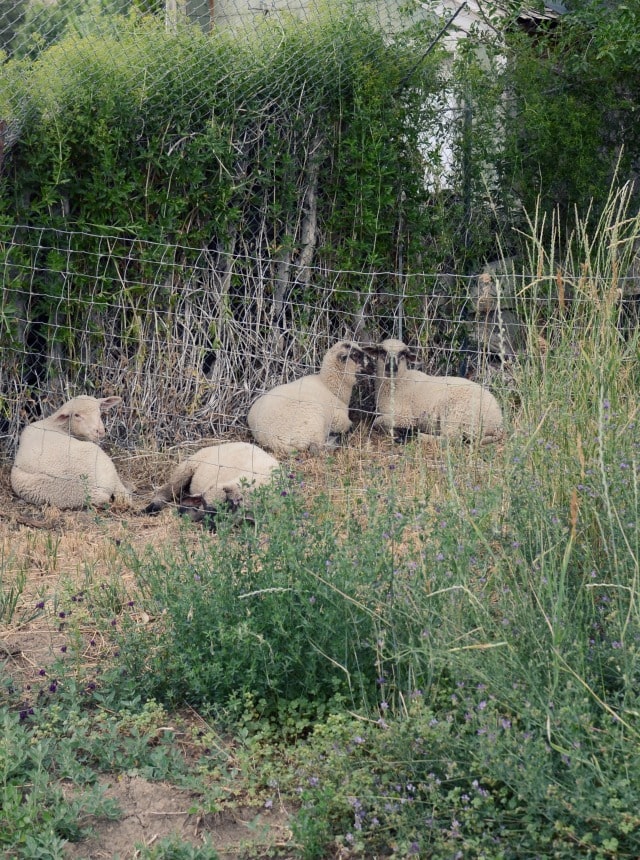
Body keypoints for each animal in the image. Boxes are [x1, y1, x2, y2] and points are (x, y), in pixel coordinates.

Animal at [145, 440, 280, 520]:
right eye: (205, 504)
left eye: (226, 507)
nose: (209, 526)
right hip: (186, 468)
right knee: (167, 490)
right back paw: (150, 508)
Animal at [246, 340, 376, 454]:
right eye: (356, 355)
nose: (373, 366)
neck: (331, 388)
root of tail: (274, 441)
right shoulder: (338, 419)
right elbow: (350, 425)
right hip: (313, 422)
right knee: (317, 448)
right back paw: (335, 440)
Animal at [364, 340, 504, 446]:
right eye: (382, 352)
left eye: (402, 354)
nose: (391, 368)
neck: (400, 381)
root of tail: (498, 423)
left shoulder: (405, 416)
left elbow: (377, 422)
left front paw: (398, 432)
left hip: (456, 413)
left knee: (451, 438)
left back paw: (416, 435)